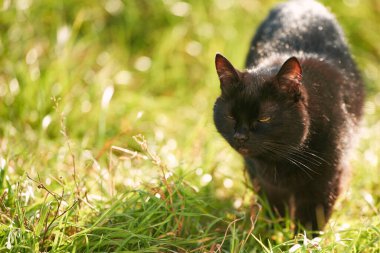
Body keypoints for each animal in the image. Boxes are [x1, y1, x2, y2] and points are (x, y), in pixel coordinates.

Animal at [212, 0, 364, 232]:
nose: (240, 137)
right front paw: (270, 235)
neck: (282, 159)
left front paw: (303, 239)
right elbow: (273, 210)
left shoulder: (326, 181)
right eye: (230, 116)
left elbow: (312, 218)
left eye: (264, 118)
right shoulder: (262, 181)